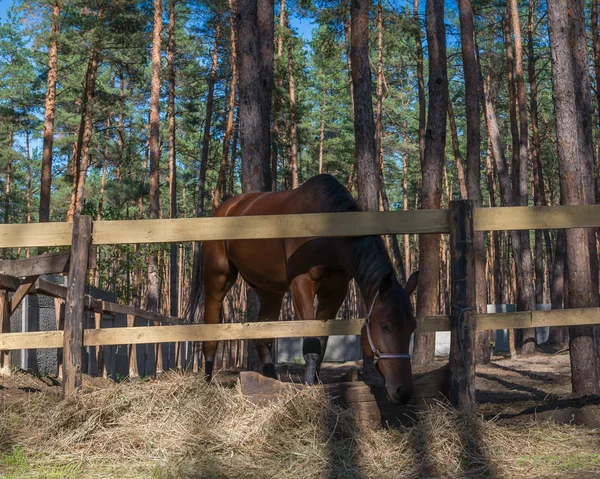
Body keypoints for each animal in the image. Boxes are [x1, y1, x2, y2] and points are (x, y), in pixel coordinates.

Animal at [202, 174, 418, 404]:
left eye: (412, 326)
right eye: (385, 326)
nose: (403, 391)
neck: (326, 231)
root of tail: (225, 208)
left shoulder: (335, 291)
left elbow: (322, 342)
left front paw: (315, 383)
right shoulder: (301, 285)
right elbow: (311, 341)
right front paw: (307, 387)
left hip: (269, 291)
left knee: (263, 340)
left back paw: (270, 383)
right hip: (217, 278)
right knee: (210, 332)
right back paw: (207, 384)